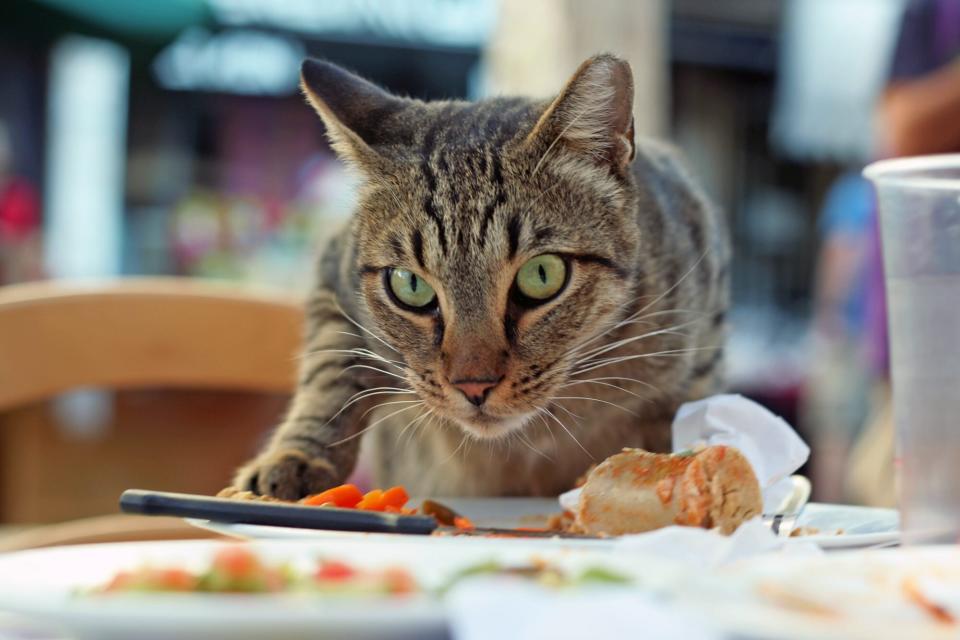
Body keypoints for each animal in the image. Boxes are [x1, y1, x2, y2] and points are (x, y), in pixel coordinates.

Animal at [232, 52, 728, 498]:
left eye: (541, 275)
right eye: (410, 286)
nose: (473, 385)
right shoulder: (334, 280)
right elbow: (328, 372)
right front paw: (294, 458)